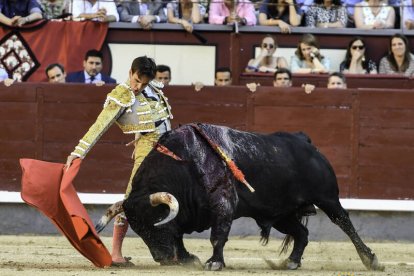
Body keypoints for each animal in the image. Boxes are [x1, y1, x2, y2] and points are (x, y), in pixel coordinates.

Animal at [95, 124, 384, 270]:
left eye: (155, 221)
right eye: (138, 229)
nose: (161, 258)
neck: (184, 164)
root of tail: (305, 142)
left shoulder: (223, 205)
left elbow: (217, 235)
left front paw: (214, 263)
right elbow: (178, 235)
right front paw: (188, 258)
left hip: (327, 198)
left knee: (344, 223)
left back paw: (370, 260)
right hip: (282, 214)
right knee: (301, 234)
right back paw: (291, 262)